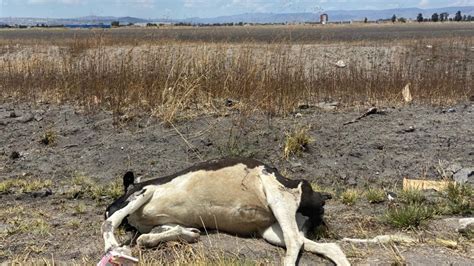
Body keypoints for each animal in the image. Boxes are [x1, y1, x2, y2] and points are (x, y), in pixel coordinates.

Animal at [102, 157, 350, 264]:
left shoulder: (143, 192)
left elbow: (110, 223)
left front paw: (114, 248)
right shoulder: (163, 223)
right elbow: (145, 237)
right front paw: (190, 234)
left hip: (279, 198)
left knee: (294, 243)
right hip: (272, 231)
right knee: (330, 247)